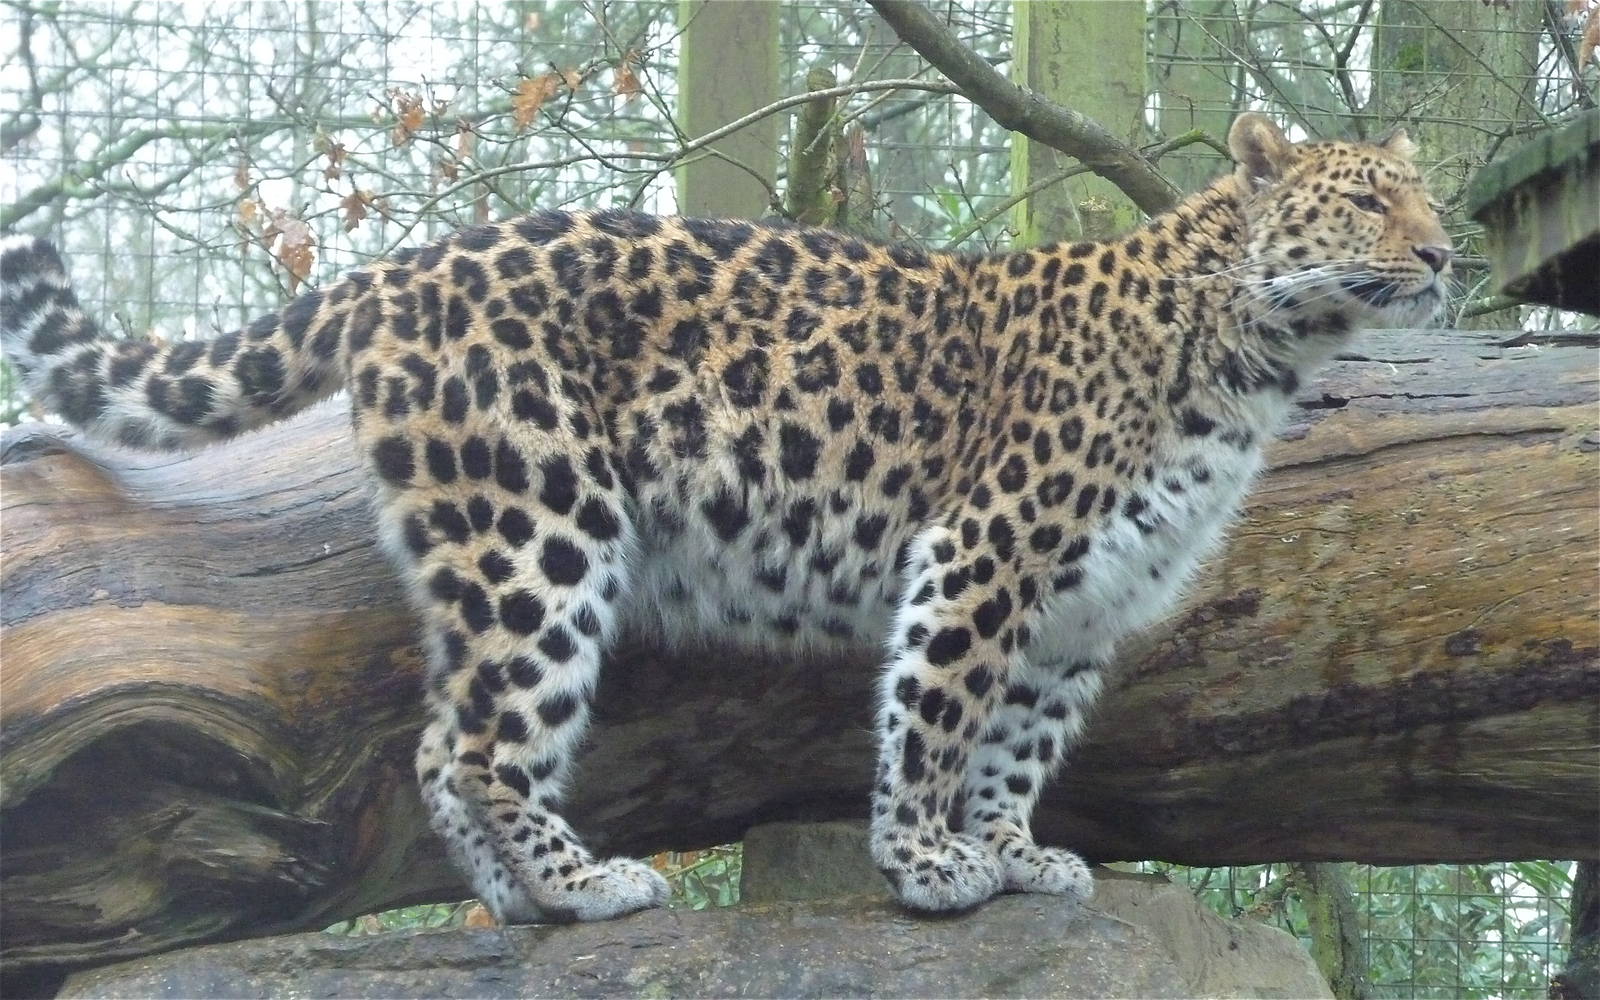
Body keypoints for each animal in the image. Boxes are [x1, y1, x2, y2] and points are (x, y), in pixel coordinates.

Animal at [0, 113, 1451, 921]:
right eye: (1365, 199)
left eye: (1422, 193)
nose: (1444, 252)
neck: (1256, 357)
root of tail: (399, 266)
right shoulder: (980, 552)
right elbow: (938, 717)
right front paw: (925, 865)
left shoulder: (1081, 604)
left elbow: (1019, 743)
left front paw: (1012, 855)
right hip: (541, 527)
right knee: (483, 743)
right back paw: (584, 887)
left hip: (480, 545)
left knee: (436, 742)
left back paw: (516, 905)